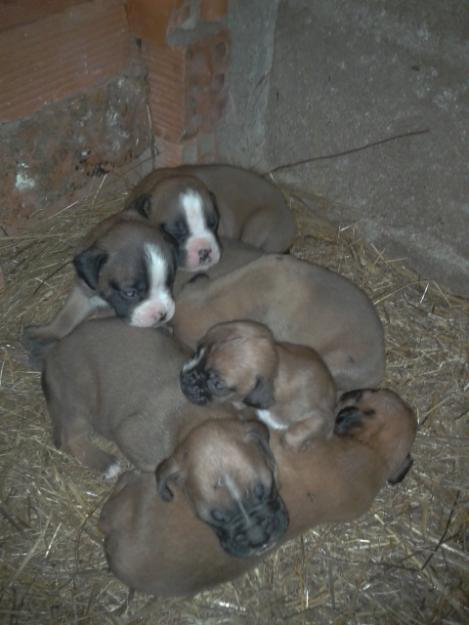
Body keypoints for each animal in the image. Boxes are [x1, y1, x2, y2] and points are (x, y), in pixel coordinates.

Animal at [41, 316, 288, 556]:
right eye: (216, 516)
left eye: (264, 491)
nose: (260, 541)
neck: (196, 420)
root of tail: (53, 353)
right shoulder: (132, 437)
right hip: (78, 401)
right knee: (71, 438)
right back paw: (105, 462)